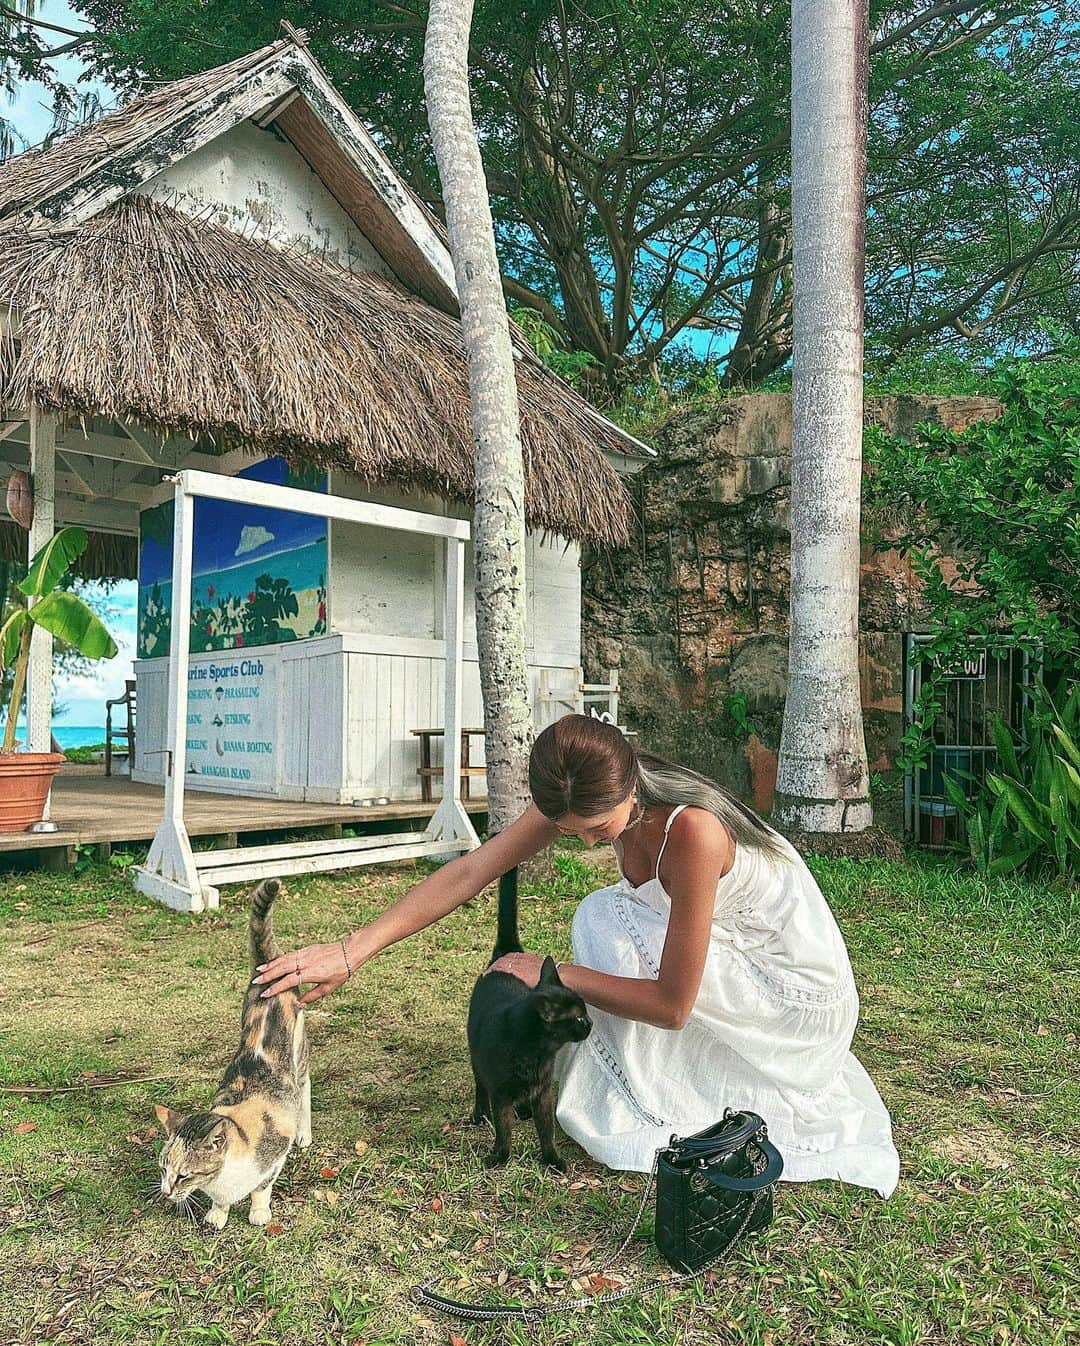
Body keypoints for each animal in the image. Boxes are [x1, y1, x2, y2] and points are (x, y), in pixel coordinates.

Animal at [153, 877, 309, 1232]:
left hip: (300, 1055)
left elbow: (261, 1189)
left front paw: (259, 1211)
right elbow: (221, 1202)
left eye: (184, 1176)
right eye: (163, 1168)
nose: (165, 1193)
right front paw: (217, 1213)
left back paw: (304, 1133)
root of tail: (267, 968)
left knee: (305, 1089)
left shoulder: (273, 1158)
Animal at [465, 872, 592, 1168]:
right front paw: (499, 1157)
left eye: (586, 1014)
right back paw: (480, 1114)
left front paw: (552, 1159)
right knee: (479, 1085)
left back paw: (523, 1110)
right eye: (580, 1018)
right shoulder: (500, 1093)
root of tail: (506, 953)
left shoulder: (544, 1093)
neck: (536, 1054)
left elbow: (546, 1129)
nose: (591, 1024)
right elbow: (503, 1129)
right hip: (477, 1057)